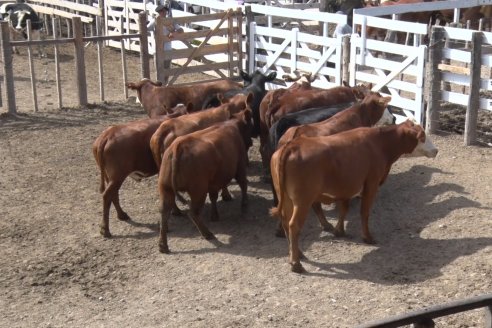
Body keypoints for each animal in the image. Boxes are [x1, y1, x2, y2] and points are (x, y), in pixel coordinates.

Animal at [93, 104, 189, 237]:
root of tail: (107, 135)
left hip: (111, 177)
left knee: (114, 194)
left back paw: (121, 215)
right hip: (117, 177)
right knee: (107, 195)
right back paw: (105, 229)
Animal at [158, 109, 254, 252]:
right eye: (250, 127)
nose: (252, 142)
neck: (231, 125)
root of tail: (178, 146)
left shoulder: (213, 181)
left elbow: (214, 197)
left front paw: (215, 215)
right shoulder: (240, 165)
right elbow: (243, 184)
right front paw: (245, 204)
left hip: (166, 188)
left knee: (164, 213)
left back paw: (163, 245)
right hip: (198, 191)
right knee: (194, 213)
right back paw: (208, 234)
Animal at [270, 120, 436, 272]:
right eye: (423, 136)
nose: (436, 150)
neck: (380, 144)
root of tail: (293, 145)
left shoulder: (347, 187)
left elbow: (344, 209)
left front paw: (340, 231)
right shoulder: (371, 184)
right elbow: (364, 212)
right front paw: (367, 237)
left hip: (287, 200)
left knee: (285, 222)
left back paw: (298, 254)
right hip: (302, 202)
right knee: (293, 225)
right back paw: (296, 263)